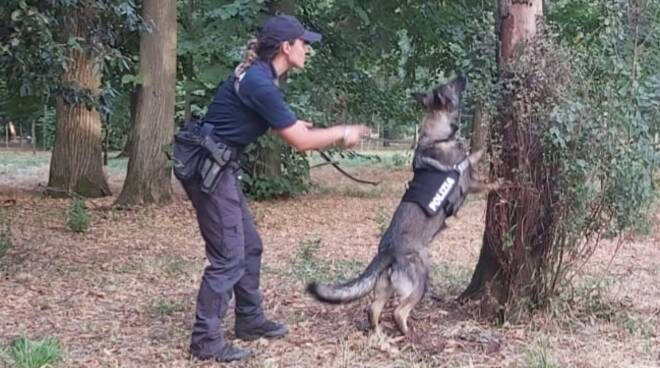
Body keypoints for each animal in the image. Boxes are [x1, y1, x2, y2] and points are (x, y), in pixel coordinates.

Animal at [306, 75, 498, 336]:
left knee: (373, 309)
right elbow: (478, 165)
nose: (462, 75)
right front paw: (499, 177)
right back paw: (406, 333)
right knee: (399, 311)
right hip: (421, 276)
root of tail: (386, 252)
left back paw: (379, 335)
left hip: (386, 287)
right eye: (451, 84)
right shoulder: (468, 182)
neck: (438, 135)